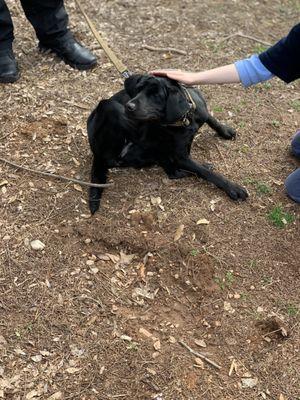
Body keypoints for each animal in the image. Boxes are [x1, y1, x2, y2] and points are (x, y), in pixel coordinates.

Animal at [87, 74, 248, 214]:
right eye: (138, 89)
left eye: (156, 96)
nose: (129, 106)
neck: (185, 118)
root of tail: (97, 154)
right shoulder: (181, 157)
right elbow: (205, 172)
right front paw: (233, 188)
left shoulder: (201, 111)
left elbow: (211, 118)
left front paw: (225, 131)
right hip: (109, 107)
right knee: (173, 172)